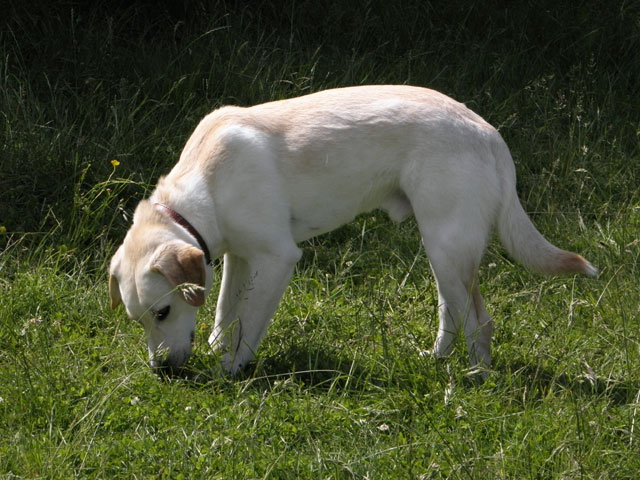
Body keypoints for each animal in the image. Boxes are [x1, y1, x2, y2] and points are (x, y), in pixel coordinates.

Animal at [106, 85, 596, 376]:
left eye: (163, 313)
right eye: (138, 320)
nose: (160, 370)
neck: (204, 185)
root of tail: (490, 134)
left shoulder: (277, 258)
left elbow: (249, 324)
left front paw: (231, 367)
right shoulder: (237, 258)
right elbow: (226, 313)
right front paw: (216, 348)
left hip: (445, 248)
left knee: (476, 320)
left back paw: (468, 373)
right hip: (447, 254)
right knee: (459, 316)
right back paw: (445, 362)